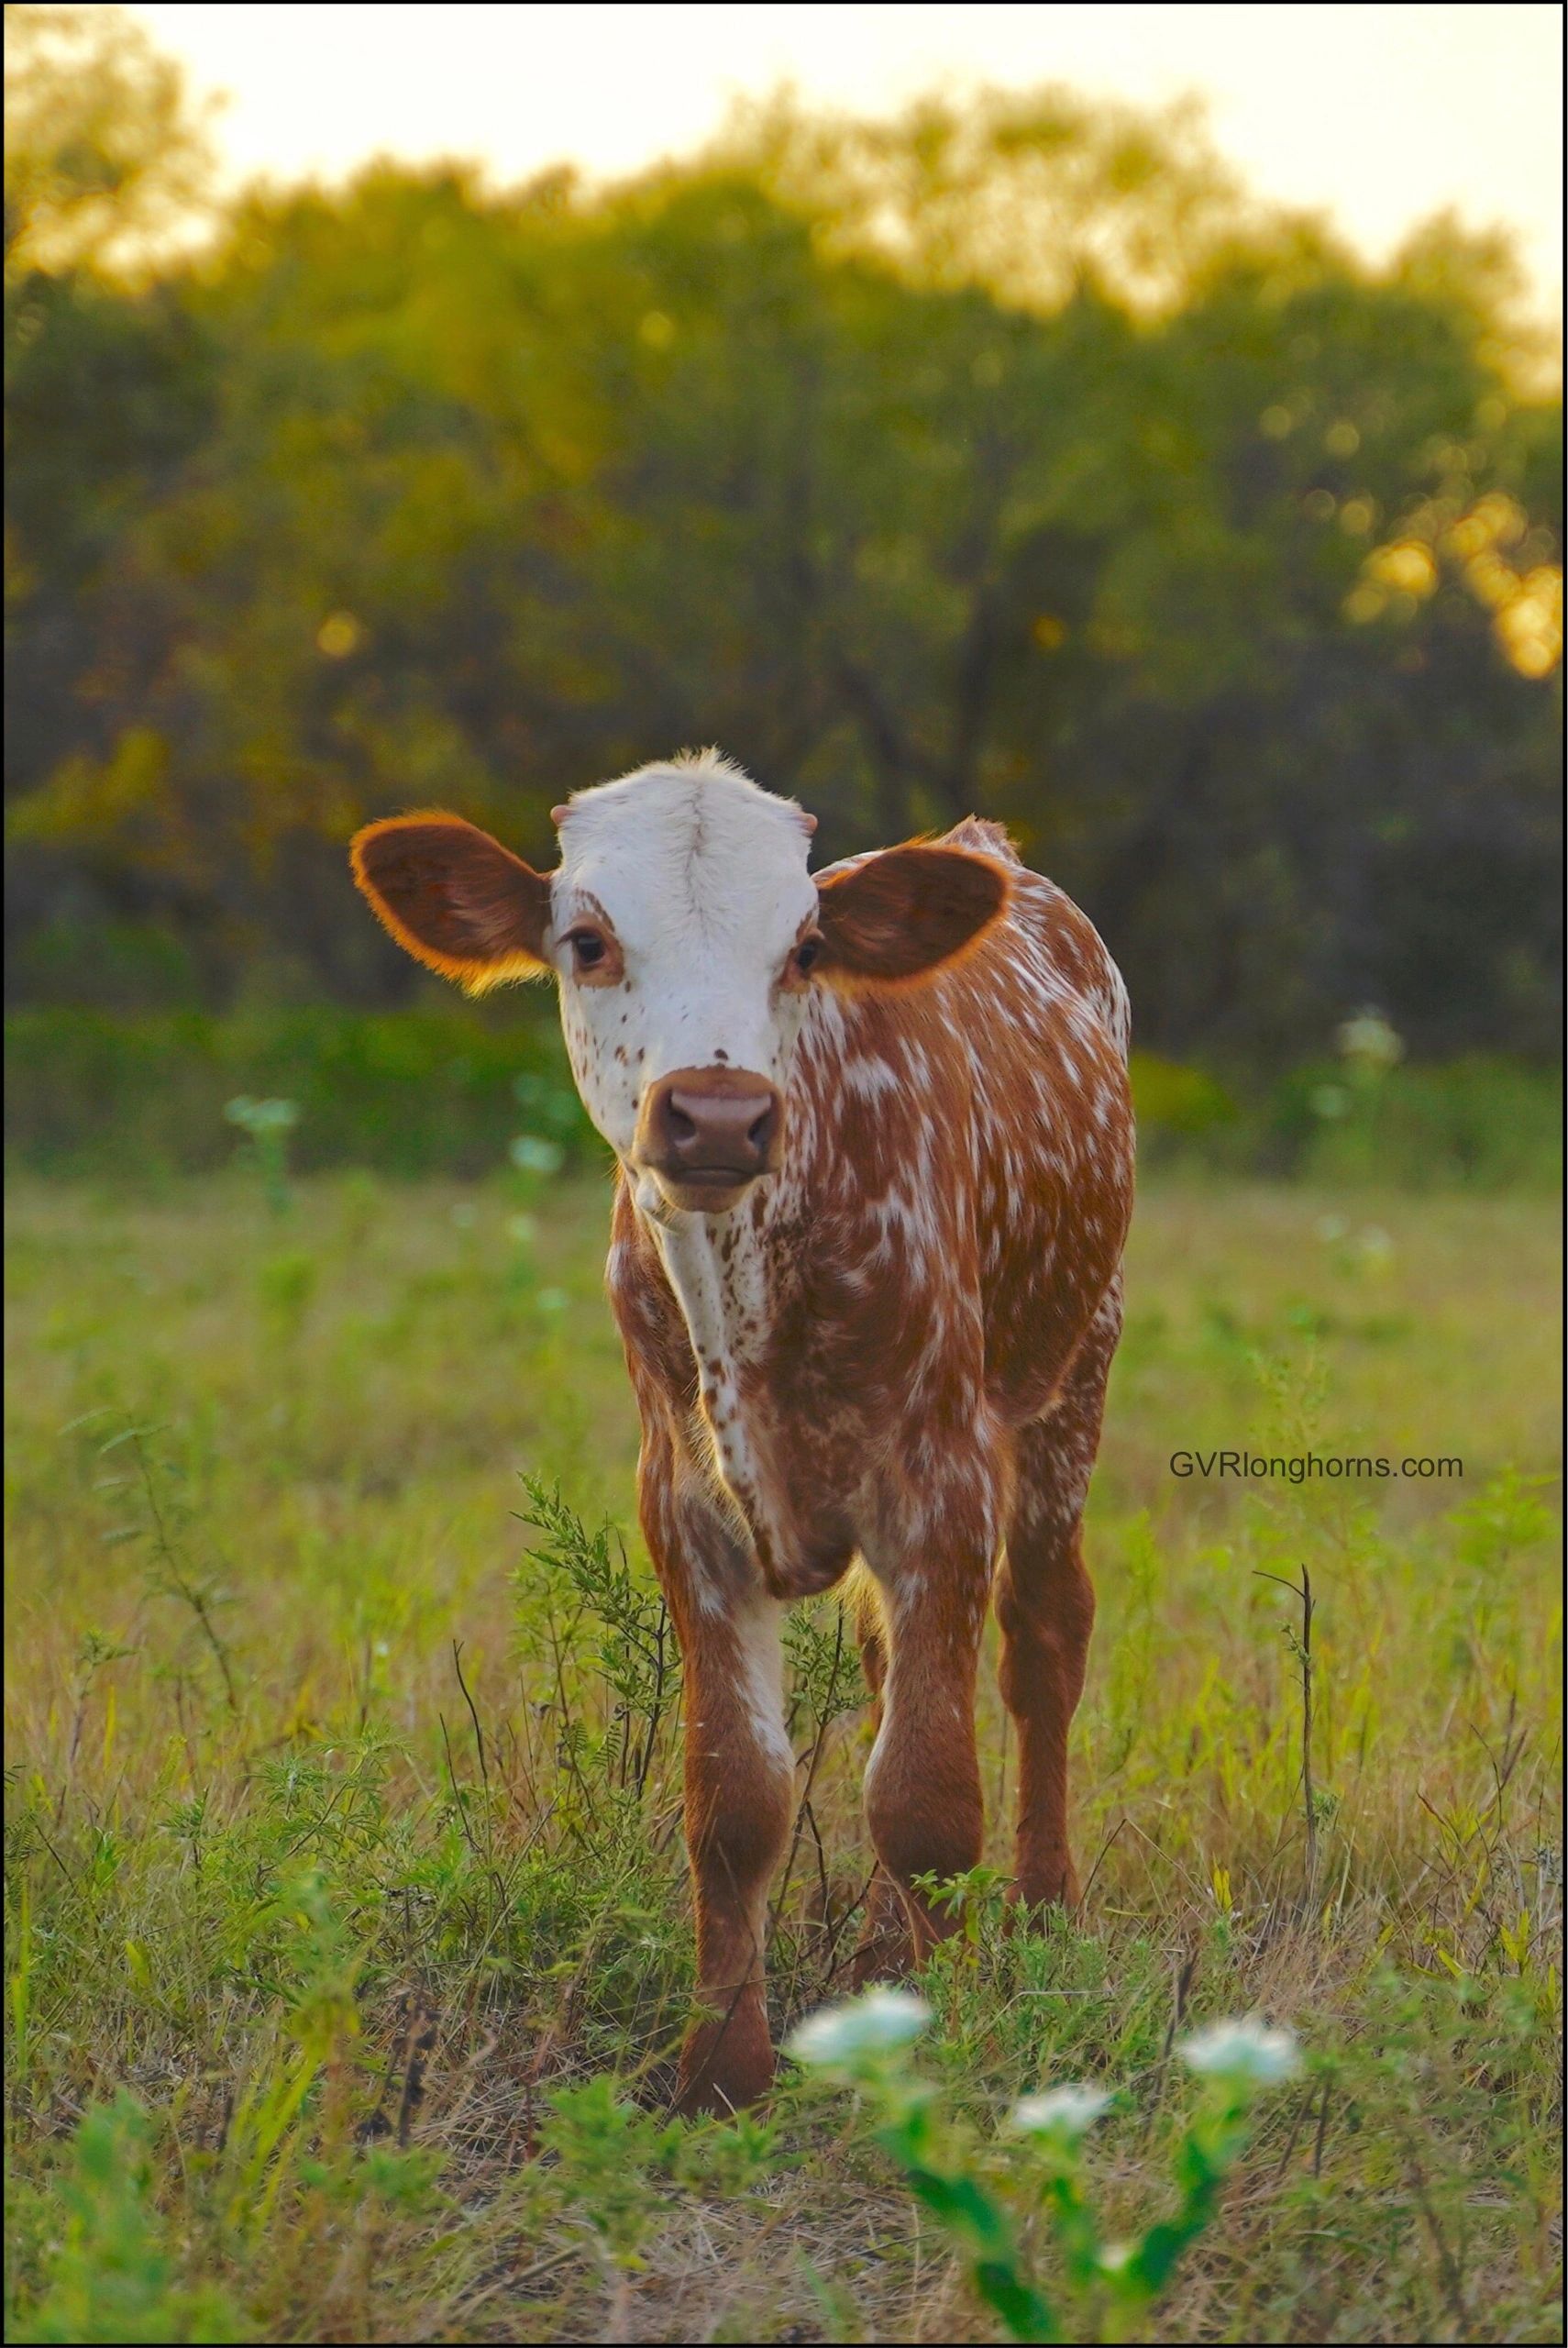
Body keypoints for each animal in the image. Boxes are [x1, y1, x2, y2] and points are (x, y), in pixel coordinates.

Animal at [350, 750, 1134, 2114]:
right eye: (589, 940)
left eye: (806, 946)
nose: (716, 1116)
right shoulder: (686, 1501)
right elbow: (738, 1799)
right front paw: (723, 2062)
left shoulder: (941, 1481)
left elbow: (928, 1796)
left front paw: (934, 2033)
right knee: (885, 1672)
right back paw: (880, 1950)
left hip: (1074, 1369)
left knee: (1042, 1641)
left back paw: (1042, 1911)